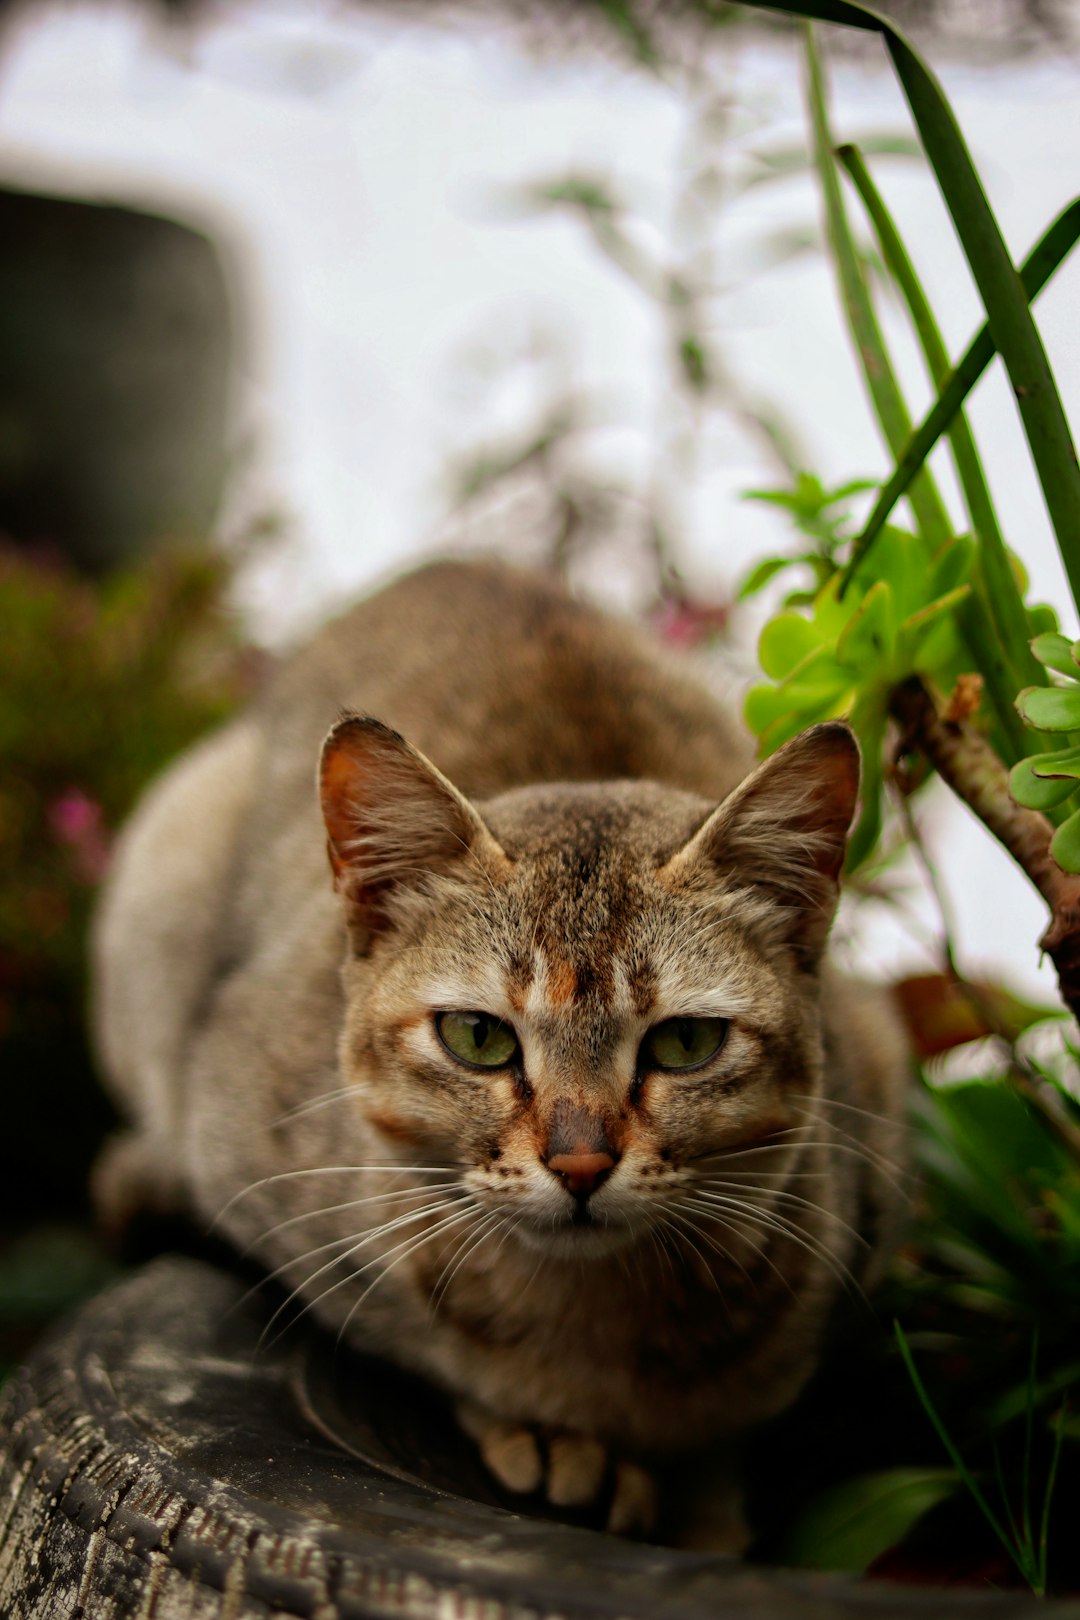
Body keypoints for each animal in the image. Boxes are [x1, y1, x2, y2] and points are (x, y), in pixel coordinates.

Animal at [90, 560, 913, 1555]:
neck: (599, 1326)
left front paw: (702, 1504)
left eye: (685, 1042)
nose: (581, 1162)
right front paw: (553, 1437)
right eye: (478, 1038)